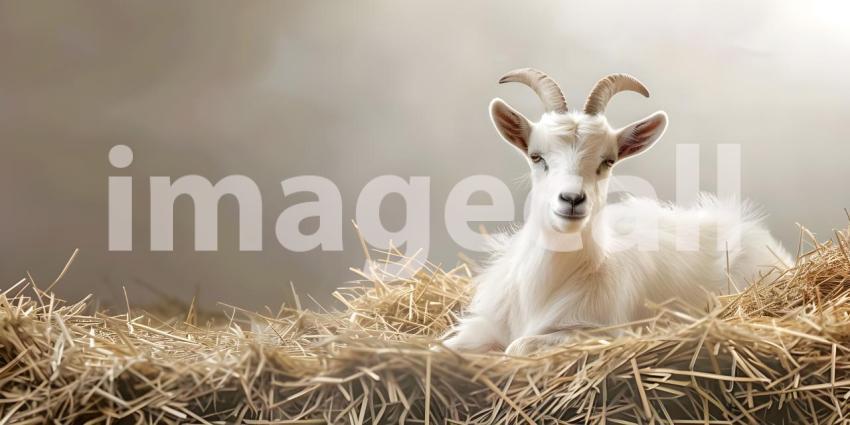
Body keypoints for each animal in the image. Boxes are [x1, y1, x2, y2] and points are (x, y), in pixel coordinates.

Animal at [442, 69, 791, 356]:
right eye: (536, 156)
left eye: (607, 160)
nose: (572, 199)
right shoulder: (486, 323)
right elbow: (441, 347)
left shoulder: (602, 331)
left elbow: (517, 347)